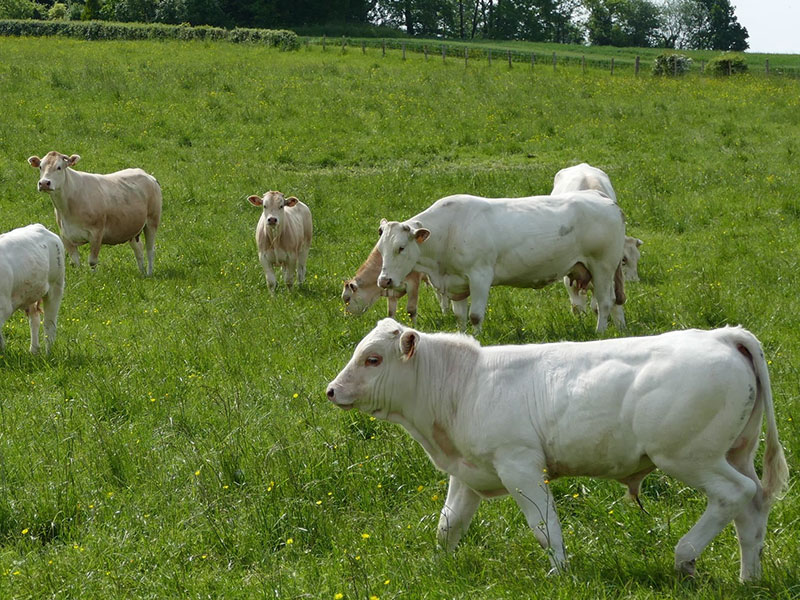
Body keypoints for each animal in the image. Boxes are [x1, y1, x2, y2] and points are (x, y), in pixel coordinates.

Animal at [0, 225, 65, 356]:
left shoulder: (4, 307)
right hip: (30, 293)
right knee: (34, 320)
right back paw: (34, 350)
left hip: (56, 286)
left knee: (49, 324)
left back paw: (48, 354)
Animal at [28, 151, 162, 276]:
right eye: (40, 167)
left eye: (59, 167)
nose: (44, 183)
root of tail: (148, 176)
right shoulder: (65, 235)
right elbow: (75, 262)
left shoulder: (97, 233)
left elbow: (92, 261)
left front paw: (93, 277)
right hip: (132, 227)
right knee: (138, 249)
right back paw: (142, 272)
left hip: (152, 221)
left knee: (150, 249)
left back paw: (149, 273)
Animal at [324, 318, 788, 580]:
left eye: (372, 359)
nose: (331, 390)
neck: (464, 383)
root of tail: (723, 336)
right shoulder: (467, 472)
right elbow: (448, 525)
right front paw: (437, 568)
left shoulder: (520, 466)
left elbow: (545, 526)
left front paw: (559, 572)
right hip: (736, 453)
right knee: (752, 509)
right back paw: (749, 577)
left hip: (688, 457)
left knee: (734, 495)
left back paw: (685, 557)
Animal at [378, 191, 628, 332]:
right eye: (381, 249)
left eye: (401, 248)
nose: (384, 281)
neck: (449, 230)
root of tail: (604, 200)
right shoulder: (456, 283)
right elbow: (460, 316)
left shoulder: (480, 275)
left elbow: (475, 316)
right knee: (614, 301)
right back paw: (619, 330)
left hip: (602, 266)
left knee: (604, 302)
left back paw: (600, 332)